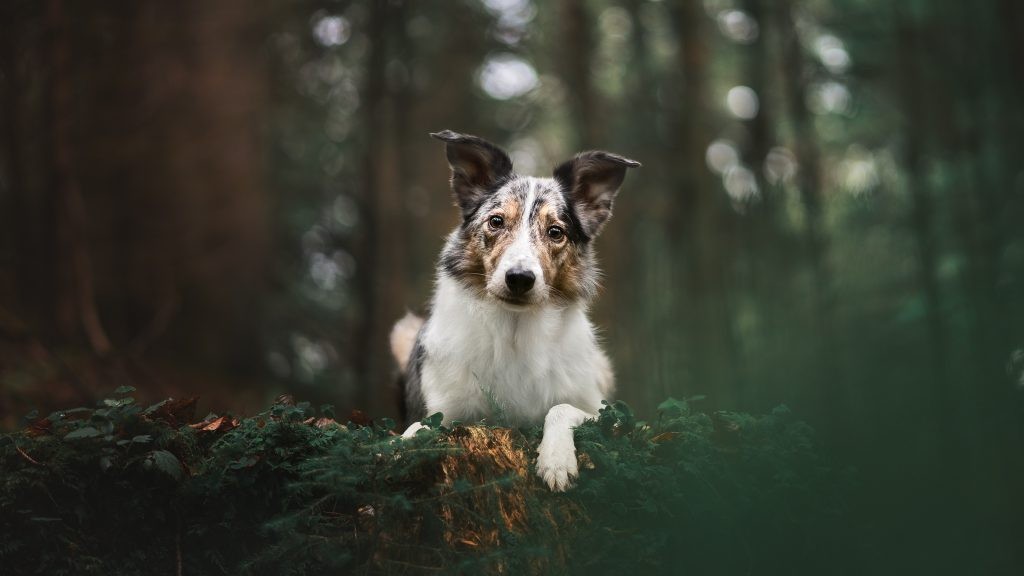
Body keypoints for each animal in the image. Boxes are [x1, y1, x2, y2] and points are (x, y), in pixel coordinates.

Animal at [387, 129, 634, 487]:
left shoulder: (611, 415)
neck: (514, 331)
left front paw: (556, 460)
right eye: (496, 221)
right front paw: (401, 444)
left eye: (555, 232)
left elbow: (561, 409)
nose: (519, 278)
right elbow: (419, 426)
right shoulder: (445, 408)